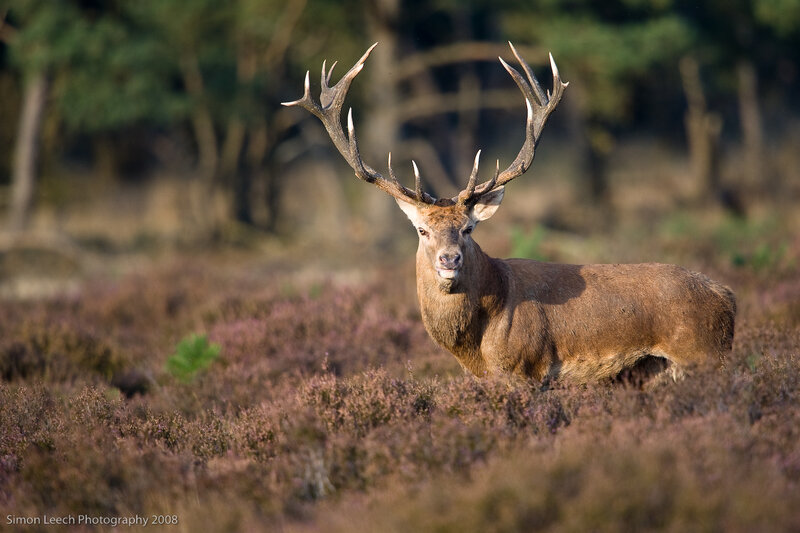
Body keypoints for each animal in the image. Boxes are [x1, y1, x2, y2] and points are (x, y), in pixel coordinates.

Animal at [282, 42, 736, 383]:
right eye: (423, 232)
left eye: (467, 229)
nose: (450, 259)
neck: (477, 347)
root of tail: (728, 297)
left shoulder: (527, 369)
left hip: (702, 355)